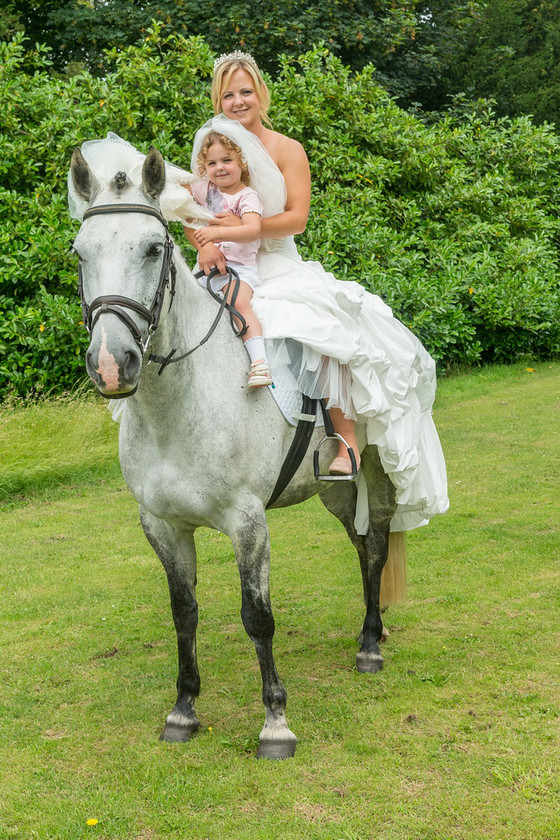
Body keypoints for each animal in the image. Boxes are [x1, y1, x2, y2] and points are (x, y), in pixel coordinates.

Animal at [70, 144, 404, 760]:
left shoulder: (247, 522)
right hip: (336, 491)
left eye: (153, 249)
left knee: (374, 547)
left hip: (377, 472)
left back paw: (370, 647)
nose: (111, 364)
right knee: (360, 542)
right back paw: (371, 630)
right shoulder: (162, 525)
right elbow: (183, 613)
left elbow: (258, 616)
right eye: (80, 253)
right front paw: (183, 711)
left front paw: (275, 722)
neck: (177, 407)